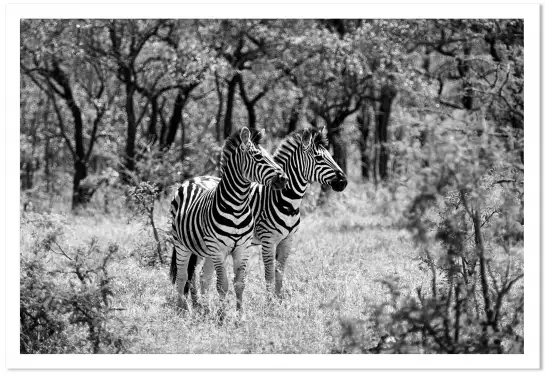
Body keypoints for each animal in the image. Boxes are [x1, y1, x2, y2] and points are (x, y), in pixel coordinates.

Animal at [169, 127, 288, 318]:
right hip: (181, 244)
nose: (284, 179)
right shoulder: (219, 250)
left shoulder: (242, 249)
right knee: (182, 277)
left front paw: (239, 316)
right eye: (258, 157)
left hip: (206, 250)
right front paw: (222, 316)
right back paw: (183, 310)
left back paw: (204, 309)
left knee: (203, 277)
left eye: (270, 156)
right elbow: (222, 285)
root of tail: (192, 179)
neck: (238, 206)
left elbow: (239, 284)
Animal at [187, 129, 346, 300]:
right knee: (193, 274)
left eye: (330, 156)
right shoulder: (268, 240)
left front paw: (279, 301)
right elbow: (269, 275)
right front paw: (270, 303)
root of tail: (197, 178)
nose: (343, 182)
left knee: (203, 274)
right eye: (319, 158)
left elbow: (280, 274)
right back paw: (195, 302)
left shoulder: (287, 240)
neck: (286, 202)